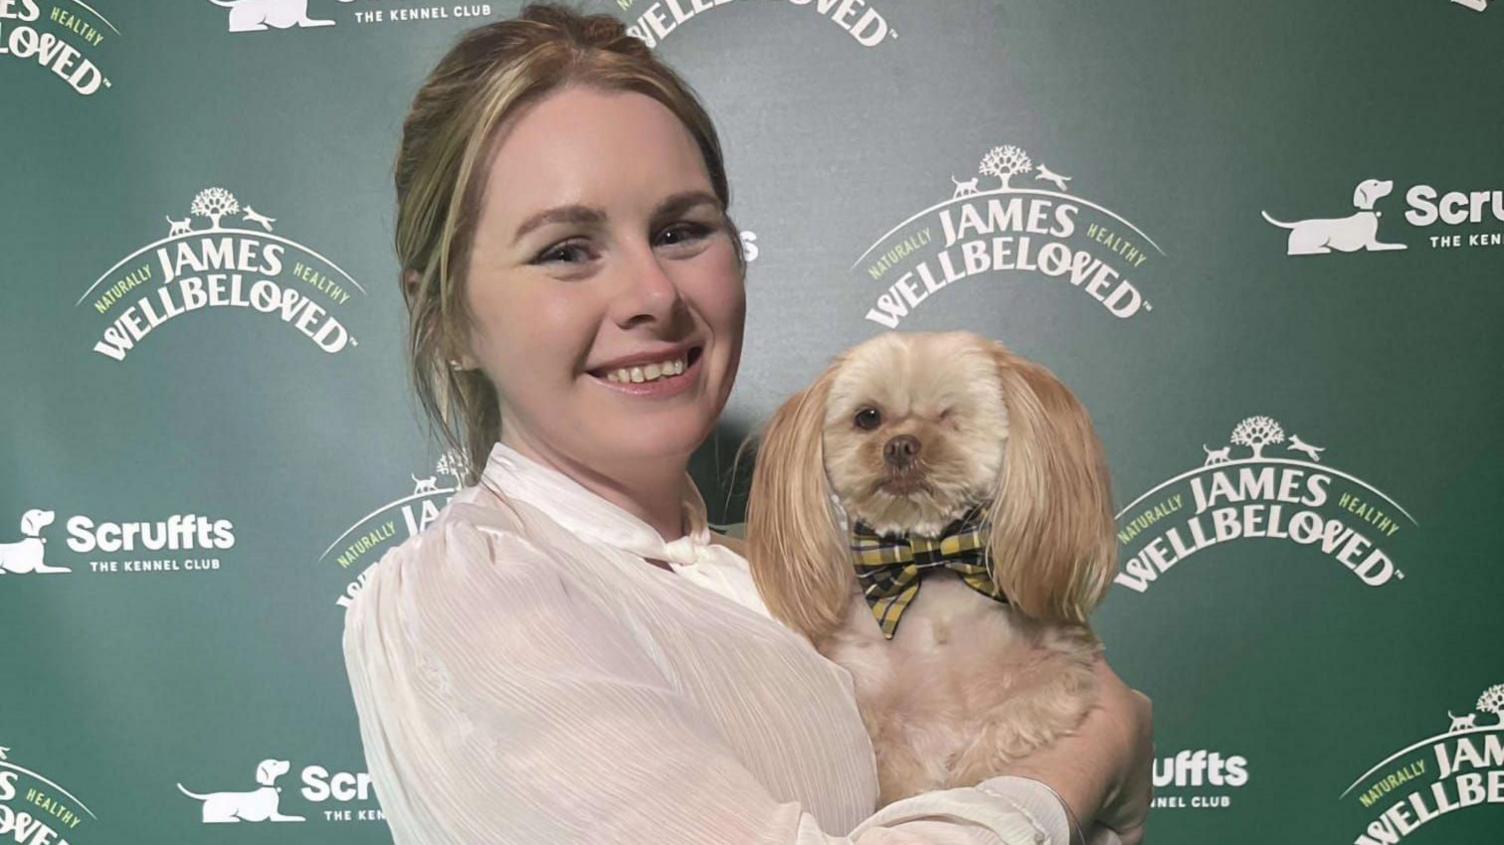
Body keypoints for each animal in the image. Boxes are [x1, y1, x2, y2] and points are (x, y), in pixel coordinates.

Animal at [748, 329, 1118, 799]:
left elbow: (1009, 726)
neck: (931, 572)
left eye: (948, 414)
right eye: (868, 417)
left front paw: (968, 774)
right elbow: (903, 777)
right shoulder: (877, 705)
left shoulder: (1060, 672)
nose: (900, 445)